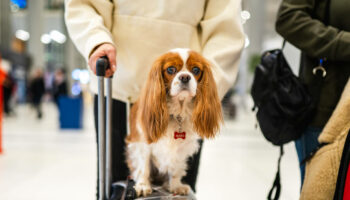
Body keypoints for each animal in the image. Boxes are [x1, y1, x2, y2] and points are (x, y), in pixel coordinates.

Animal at [126, 48, 221, 197]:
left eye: (195, 69)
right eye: (171, 69)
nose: (185, 77)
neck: (177, 113)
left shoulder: (182, 148)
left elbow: (176, 168)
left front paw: (175, 186)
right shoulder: (142, 143)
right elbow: (143, 166)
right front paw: (143, 185)